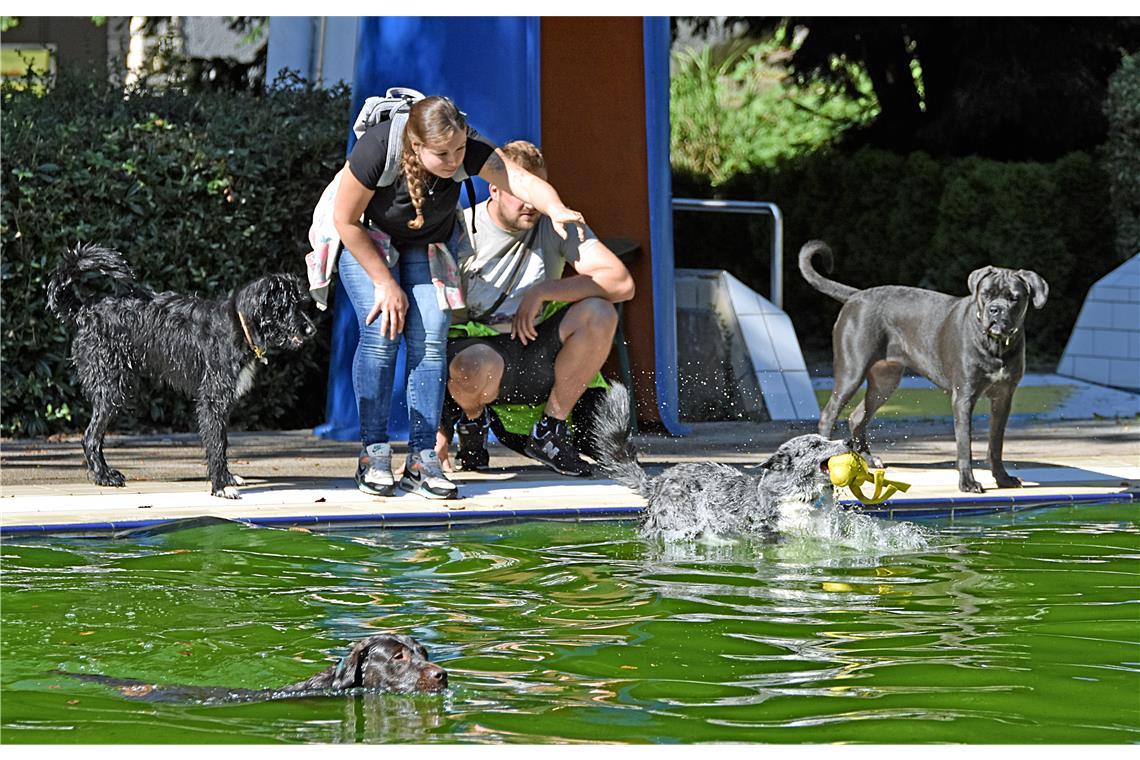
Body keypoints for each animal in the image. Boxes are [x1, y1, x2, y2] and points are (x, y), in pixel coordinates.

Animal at [47, 244, 316, 499]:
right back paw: (104, 476)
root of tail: (85, 311)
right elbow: (216, 443)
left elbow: (222, 440)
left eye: (301, 304)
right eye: (287, 306)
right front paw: (221, 487)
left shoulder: (223, 401)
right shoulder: (212, 399)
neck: (240, 324)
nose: (311, 330)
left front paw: (226, 478)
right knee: (90, 437)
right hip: (112, 389)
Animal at [798, 240, 1044, 496]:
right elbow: (964, 444)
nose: (996, 310)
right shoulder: (964, 397)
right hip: (851, 372)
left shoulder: (1003, 398)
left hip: (885, 381)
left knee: (857, 416)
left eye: (1014, 298)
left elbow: (996, 443)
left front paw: (1002, 478)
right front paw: (967, 483)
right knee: (829, 414)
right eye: (986, 294)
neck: (995, 345)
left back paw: (869, 459)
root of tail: (857, 295)